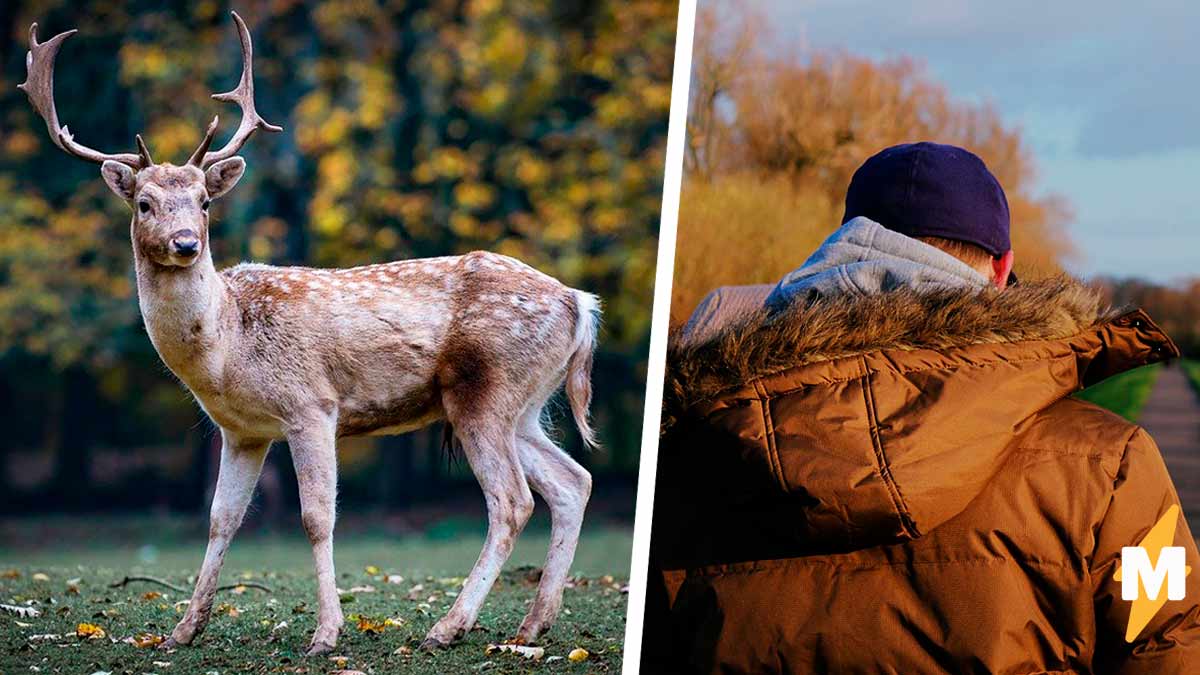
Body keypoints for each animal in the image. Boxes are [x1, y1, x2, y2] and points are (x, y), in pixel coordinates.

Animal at [18, 9, 600, 653]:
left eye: (203, 201)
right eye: (144, 203)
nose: (187, 243)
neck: (227, 350)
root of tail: (580, 303)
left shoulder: (312, 405)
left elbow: (316, 518)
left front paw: (326, 633)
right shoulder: (242, 431)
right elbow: (221, 519)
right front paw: (182, 630)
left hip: (486, 389)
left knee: (513, 501)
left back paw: (447, 628)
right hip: (525, 403)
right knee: (573, 481)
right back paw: (533, 624)